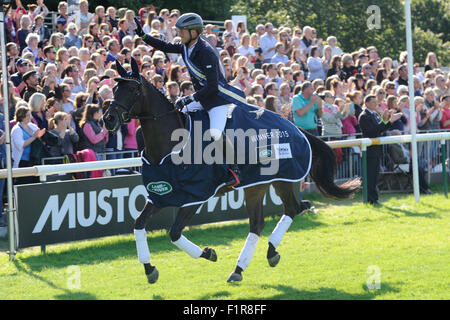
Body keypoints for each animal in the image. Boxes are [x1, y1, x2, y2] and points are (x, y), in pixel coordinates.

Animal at [103, 59, 360, 282]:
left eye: (133, 90)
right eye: (114, 89)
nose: (108, 119)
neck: (169, 145)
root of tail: (295, 127)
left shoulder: (195, 196)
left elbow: (174, 232)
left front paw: (208, 253)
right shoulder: (161, 195)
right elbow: (138, 224)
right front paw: (149, 269)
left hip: (282, 179)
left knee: (289, 210)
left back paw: (257, 259)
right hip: (257, 185)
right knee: (266, 221)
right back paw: (247, 265)